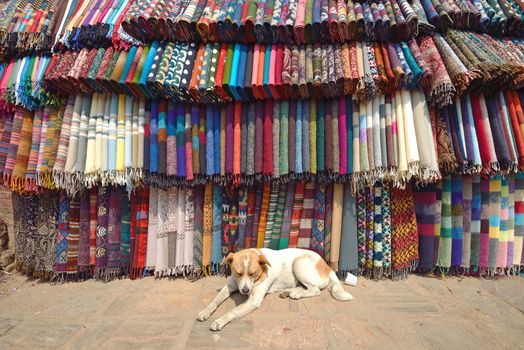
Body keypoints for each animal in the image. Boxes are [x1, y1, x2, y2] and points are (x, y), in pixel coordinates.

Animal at [196, 246, 352, 330]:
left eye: (253, 273)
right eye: (238, 273)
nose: (245, 291)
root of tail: (327, 266)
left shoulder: (253, 300)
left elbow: (233, 311)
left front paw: (220, 321)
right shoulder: (229, 286)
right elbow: (214, 301)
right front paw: (205, 311)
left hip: (299, 263)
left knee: (315, 290)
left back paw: (296, 294)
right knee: (304, 287)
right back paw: (289, 292)